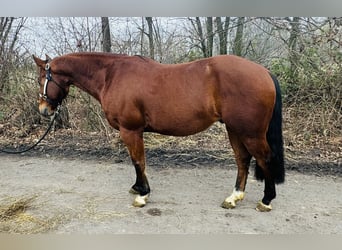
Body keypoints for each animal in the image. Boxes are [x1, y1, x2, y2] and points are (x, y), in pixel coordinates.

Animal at [33, 52, 284, 211]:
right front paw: (137, 188)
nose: (44, 110)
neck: (112, 75)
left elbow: (138, 161)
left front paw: (142, 194)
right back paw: (234, 197)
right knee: (243, 159)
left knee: (264, 158)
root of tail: (264, 72)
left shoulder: (130, 130)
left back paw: (266, 200)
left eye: (41, 79)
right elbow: (137, 161)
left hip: (250, 133)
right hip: (235, 129)